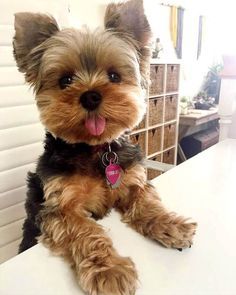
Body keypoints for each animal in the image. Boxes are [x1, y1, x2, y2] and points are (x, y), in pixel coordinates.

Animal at [13, 1, 197, 294]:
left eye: (114, 76)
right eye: (65, 80)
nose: (90, 95)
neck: (95, 150)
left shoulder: (133, 182)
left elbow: (147, 203)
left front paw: (172, 225)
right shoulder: (60, 209)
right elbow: (87, 231)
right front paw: (109, 270)